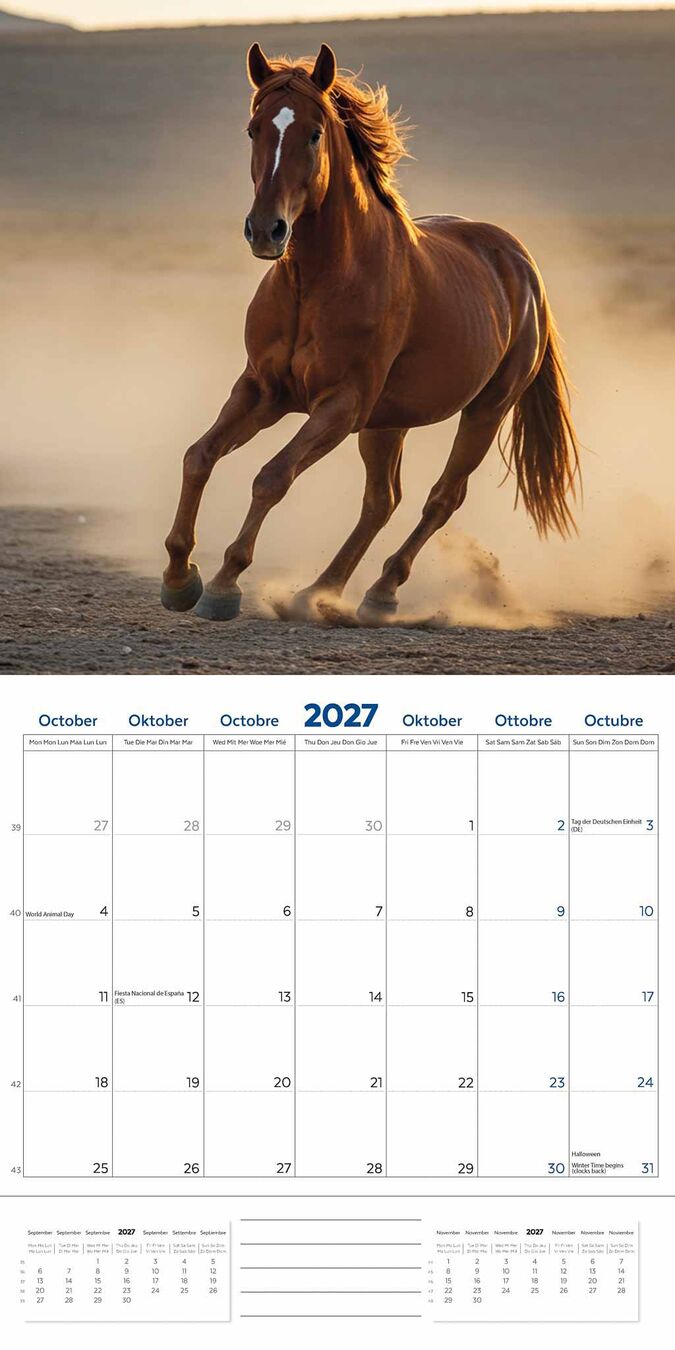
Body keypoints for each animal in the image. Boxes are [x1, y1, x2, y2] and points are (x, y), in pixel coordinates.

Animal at [161, 41, 580, 624]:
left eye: (314, 133)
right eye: (253, 129)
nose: (266, 230)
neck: (317, 282)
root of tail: (522, 265)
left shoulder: (341, 405)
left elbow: (271, 476)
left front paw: (224, 583)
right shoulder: (262, 390)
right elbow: (198, 457)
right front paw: (180, 577)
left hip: (485, 409)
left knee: (441, 498)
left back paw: (380, 592)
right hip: (389, 422)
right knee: (382, 500)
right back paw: (318, 592)